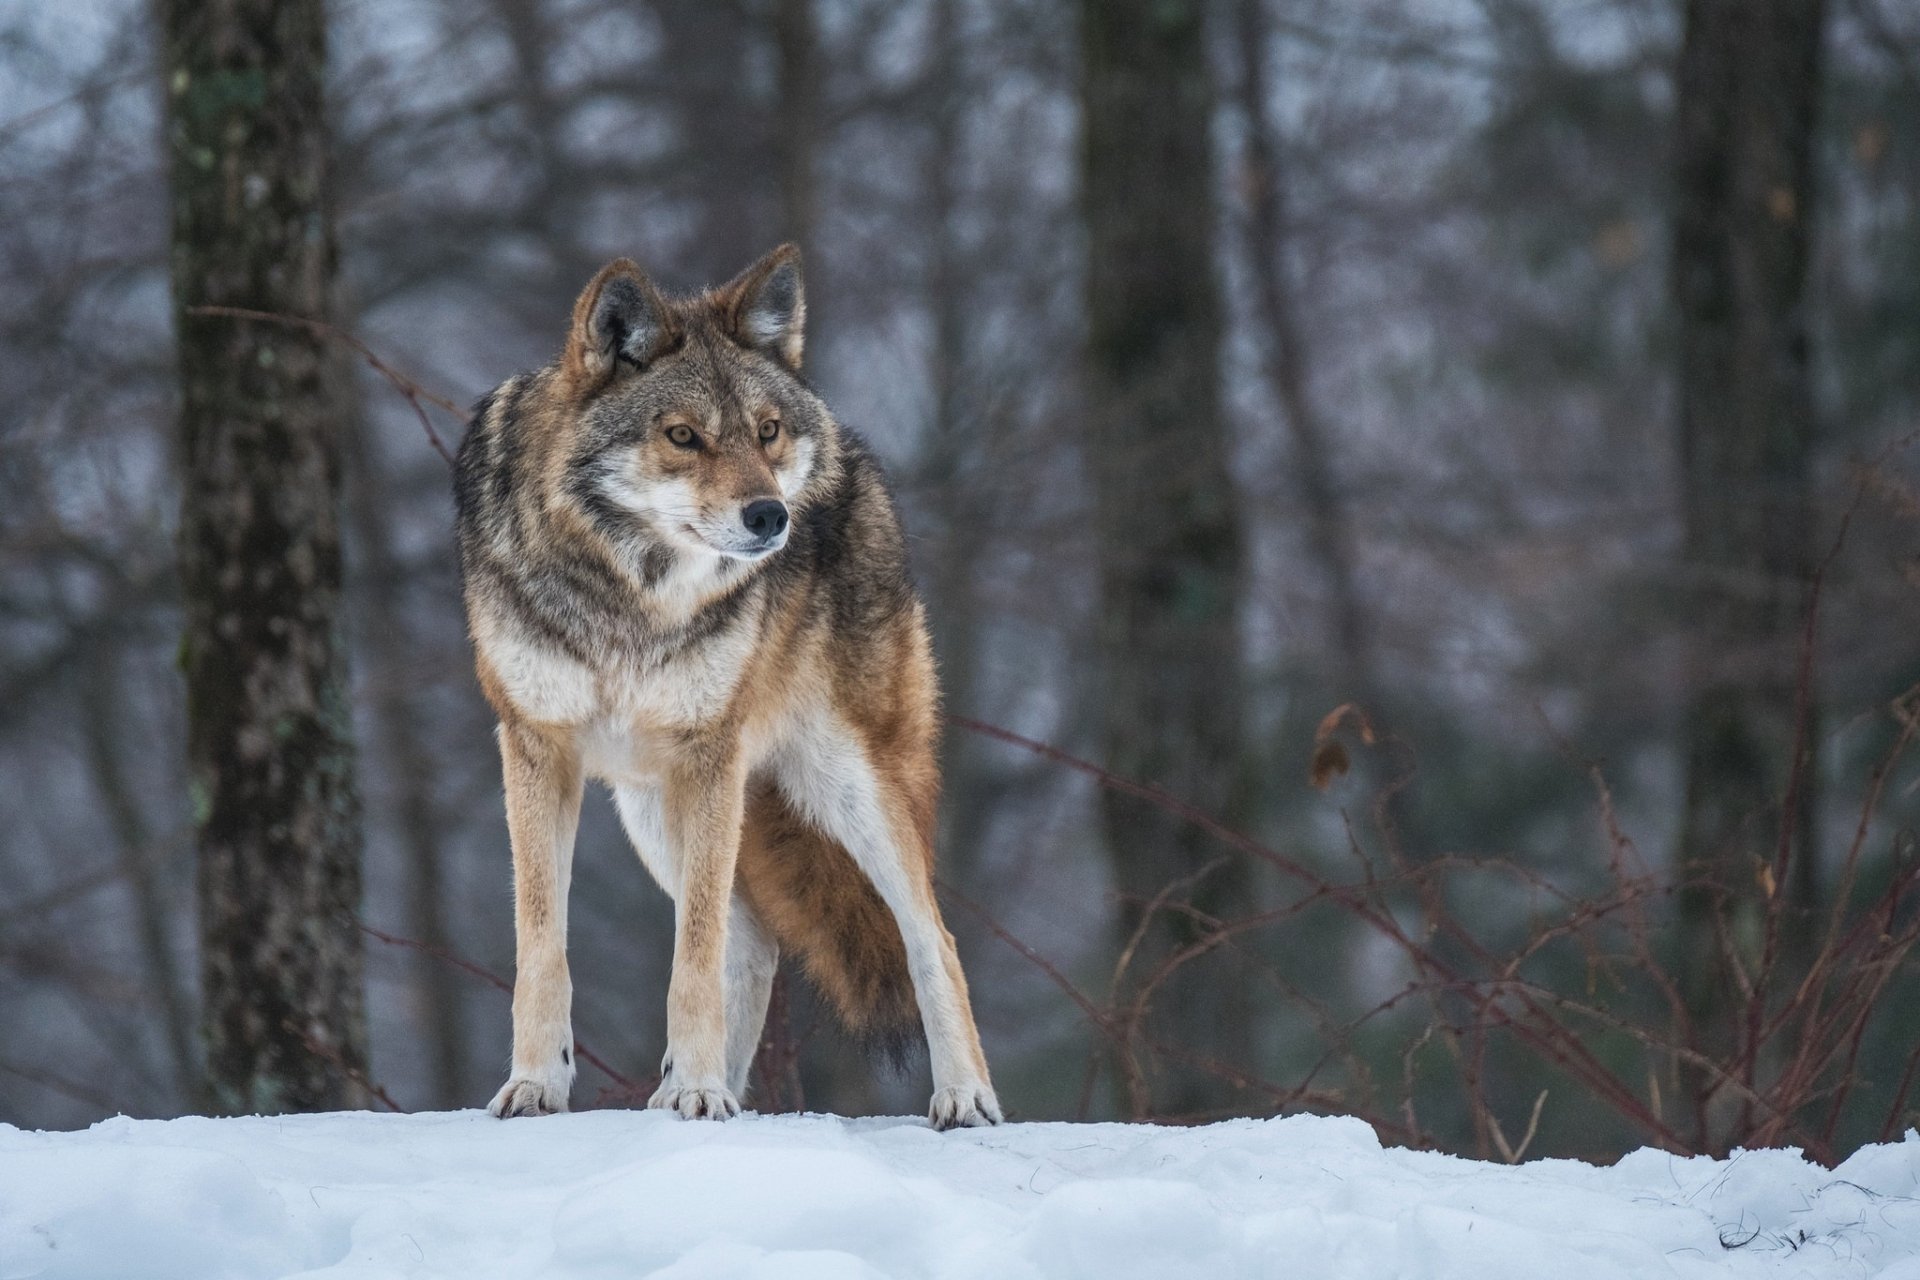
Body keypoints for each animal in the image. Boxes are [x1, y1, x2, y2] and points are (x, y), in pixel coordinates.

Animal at [454, 245, 1002, 1129]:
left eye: (766, 432)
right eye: (684, 436)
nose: (772, 516)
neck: (632, 593)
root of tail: (851, 443)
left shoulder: (707, 753)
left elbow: (694, 951)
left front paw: (704, 1091)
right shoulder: (537, 747)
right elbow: (544, 945)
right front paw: (537, 1085)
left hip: (846, 784)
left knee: (930, 937)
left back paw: (962, 1097)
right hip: (650, 807)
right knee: (754, 943)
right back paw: (681, 1091)